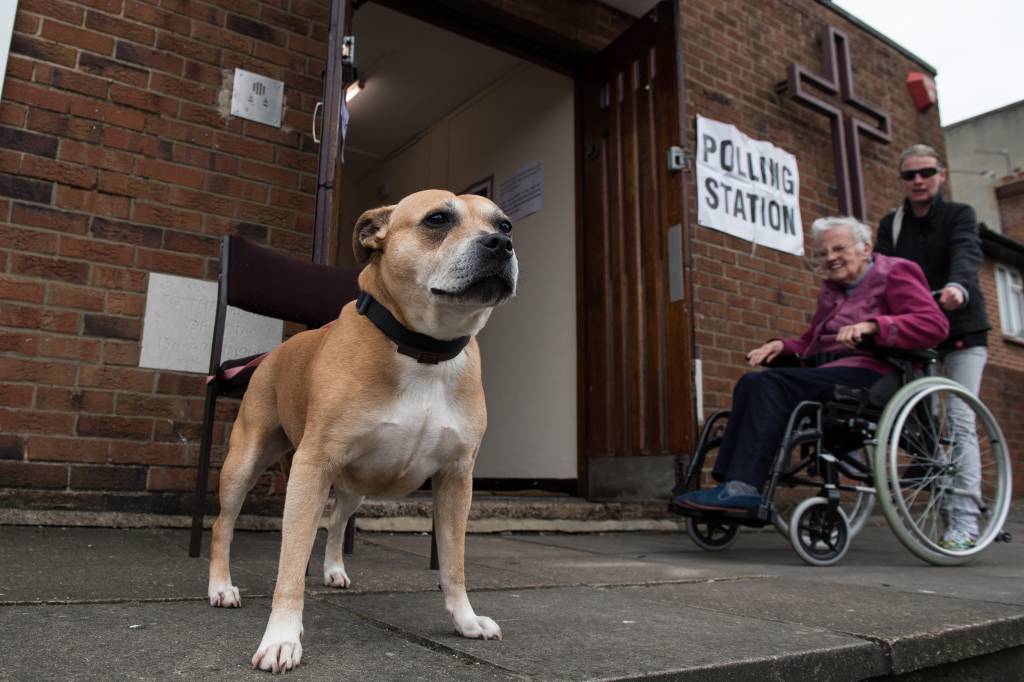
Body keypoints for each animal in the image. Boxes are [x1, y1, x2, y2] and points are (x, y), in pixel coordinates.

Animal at [206, 188, 516, 671]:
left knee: (336, 521)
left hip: (357, 484)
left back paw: (334, 569)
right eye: (437, 219)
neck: (424, 351)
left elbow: (454, 562)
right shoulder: (313, 466)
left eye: (504, 225)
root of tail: (279, 349)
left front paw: (465, 620)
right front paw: (281, 637)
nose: (500, 244)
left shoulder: (456, 479)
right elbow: (290, 565)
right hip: (245, 460)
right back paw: (221, 587)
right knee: (224, 523)